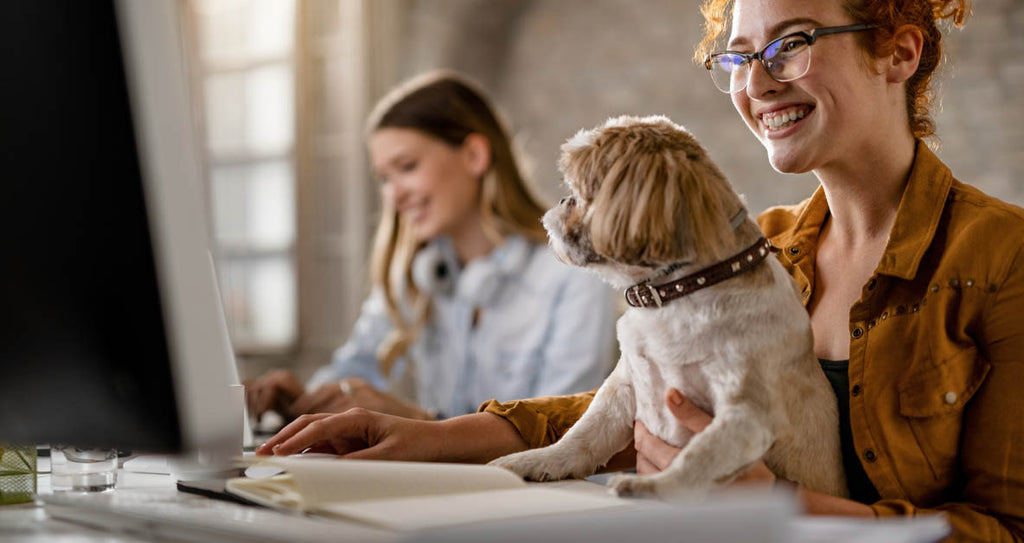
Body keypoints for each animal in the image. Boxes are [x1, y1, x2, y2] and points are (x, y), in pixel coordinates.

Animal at [489, 115, 847, 497]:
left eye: (584, 191)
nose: (561, 199)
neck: (679, 294)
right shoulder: (622, 389)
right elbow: (582, 435)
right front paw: (534, 461)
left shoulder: (747, 415)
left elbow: (697, 457)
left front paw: (652, 486)